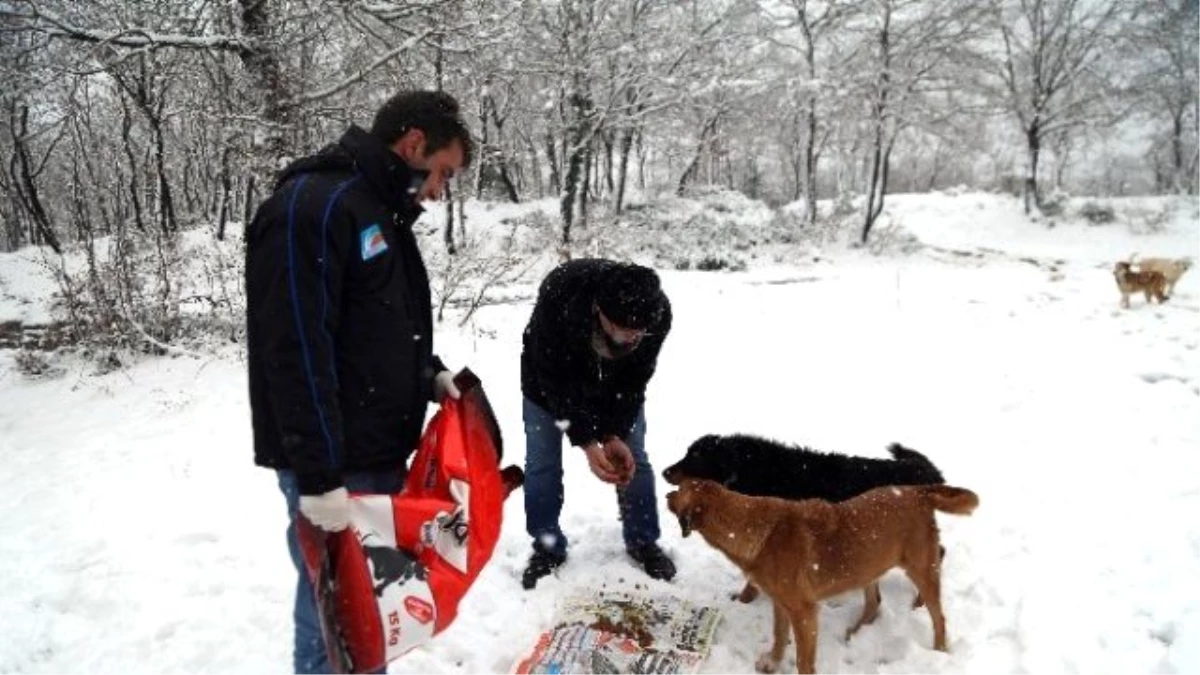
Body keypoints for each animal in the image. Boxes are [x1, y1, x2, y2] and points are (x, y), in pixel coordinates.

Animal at [667, 478, 974, 672]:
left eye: (680, 489)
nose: (666, 495)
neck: (756, 529)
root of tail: (919, 492)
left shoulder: (804, 613)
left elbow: (804, 661)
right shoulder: (782, 604)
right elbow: (778, 634)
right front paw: (773, 662)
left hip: (920, 569)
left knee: (939, 618)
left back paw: (939, 650)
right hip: (867, 564)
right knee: (874, 602)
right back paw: (857, 632)